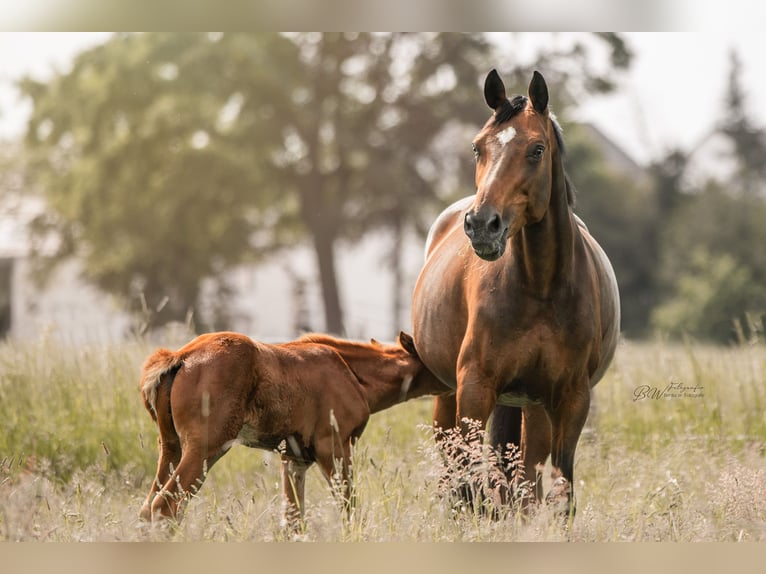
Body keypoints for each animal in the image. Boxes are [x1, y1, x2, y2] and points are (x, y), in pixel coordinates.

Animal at [137, 330, 445, 527]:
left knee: (147, 509)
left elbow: (293, 521)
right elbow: (349, 509)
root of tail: (180, 356)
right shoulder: (334, 446)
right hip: (205, 447)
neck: (354, 374)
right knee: (165, 508)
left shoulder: (294, 458)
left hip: (172, 446)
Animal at [411, 69, 620, 519]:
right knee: (456, 473)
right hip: (448, 395)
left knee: (524, 479)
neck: (540, 288)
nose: (481, 224)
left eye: (536, 150)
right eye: (478, 147)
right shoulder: (474, 387)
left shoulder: (571, 398)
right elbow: (473, 486)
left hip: (534, 405)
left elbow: (560, 492)